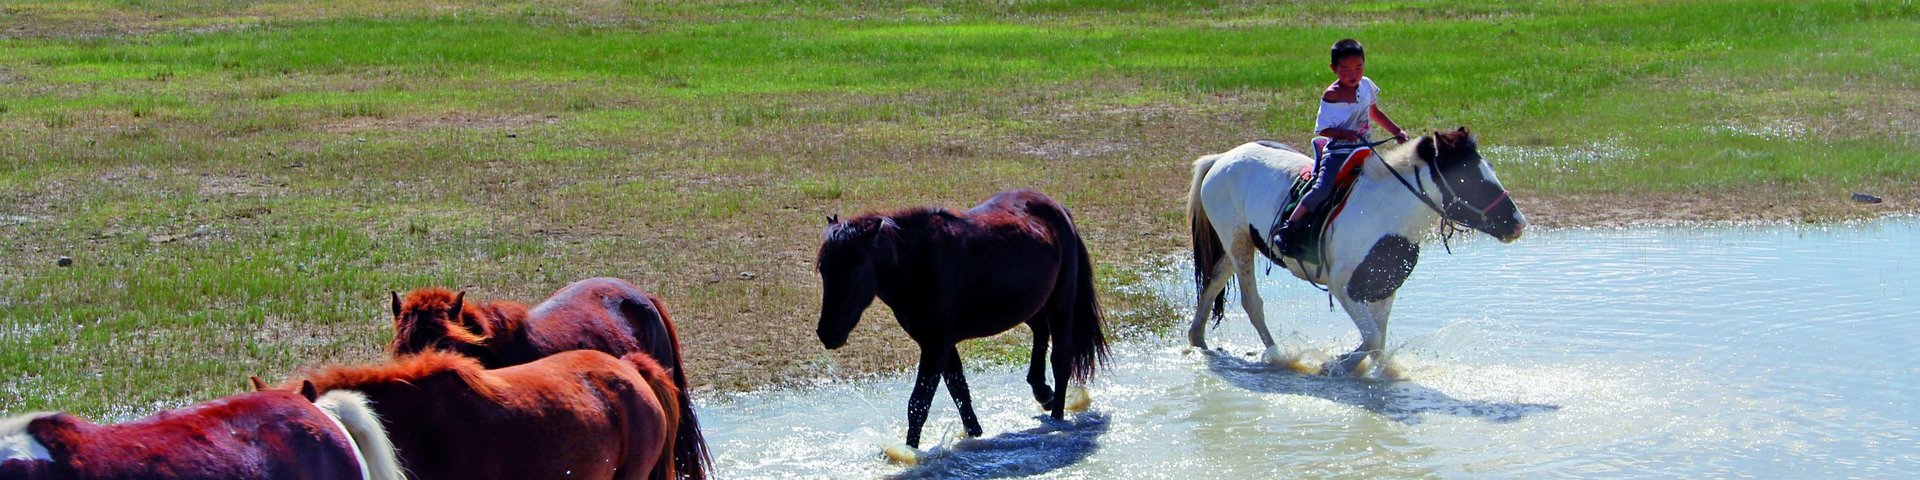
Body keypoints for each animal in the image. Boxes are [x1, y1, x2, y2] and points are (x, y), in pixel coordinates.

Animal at [816, 188, 1110, 449]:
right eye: (824, 270)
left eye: (854, 271)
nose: (827, 333)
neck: (918, 264)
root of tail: (1057, 207)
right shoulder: (941, 344)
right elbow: (959, 391)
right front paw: (974, 434)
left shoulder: (935, 346)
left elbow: (919, 404)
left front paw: (910, 453)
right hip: (1031, 304)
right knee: (1040, 333)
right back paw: (1043, 392)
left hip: (1061, 302)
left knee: (1061, 359)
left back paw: (1057, 417)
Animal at [1187, 127, 1526, 376]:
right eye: (1468, 177)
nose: (1517, 223)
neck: (1386, 214)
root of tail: (1222, 158)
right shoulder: (1344, 288)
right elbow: (1373, 338)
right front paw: (1333, 362)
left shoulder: (1383, 288)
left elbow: (1378, 342)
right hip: (1238, 243)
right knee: (1252, 303)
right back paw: (1278, 356)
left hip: (1235, 245)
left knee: (1213, 283)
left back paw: (1198, 338)